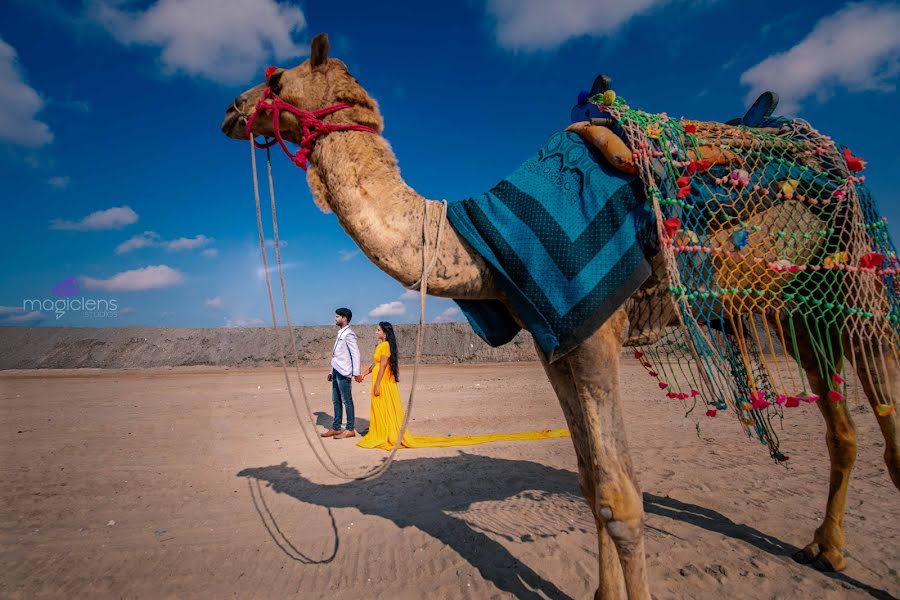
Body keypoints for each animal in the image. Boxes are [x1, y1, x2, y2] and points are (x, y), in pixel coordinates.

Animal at [220, 34, 900, 600]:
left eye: (275, 77)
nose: (231, 106)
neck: (475, 244)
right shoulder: (557, 343)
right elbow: (589, 482)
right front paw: (601, 594)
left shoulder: (596, 330)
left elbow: (621, 497)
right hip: (796, 309)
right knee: (842, 428)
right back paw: (825, 550)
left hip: (859, 284)